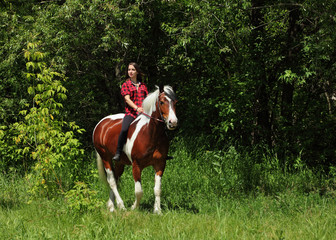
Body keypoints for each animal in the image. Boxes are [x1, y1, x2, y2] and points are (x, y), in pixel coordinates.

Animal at [90, 85, 177, 214]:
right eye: (162, 102)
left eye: (175, 102)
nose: (173, 122)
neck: (151, 134)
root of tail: (100, 124)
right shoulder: (136, 165)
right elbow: (139, 191)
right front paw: (134, 207)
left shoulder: (160, 164)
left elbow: (157, 189)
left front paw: (158, 211)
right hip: (105, 157)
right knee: (112, 181)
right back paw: (120, 206)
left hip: (119, 162)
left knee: (116, 179)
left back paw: (111, 206)